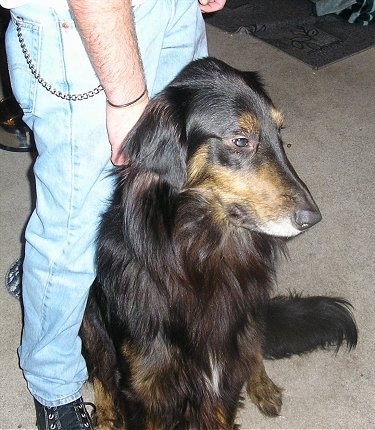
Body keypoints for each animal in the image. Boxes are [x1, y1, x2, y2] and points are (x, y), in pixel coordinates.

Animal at [80, 58, 358, 430]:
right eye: (241, 140)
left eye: (280, 135)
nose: (312, 218)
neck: (202, 254)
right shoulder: (144, 386)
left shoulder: (223, 372)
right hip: (90, 320)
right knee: (101, 373)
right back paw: (107, 418)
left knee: (253, 346)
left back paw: (262, 384)